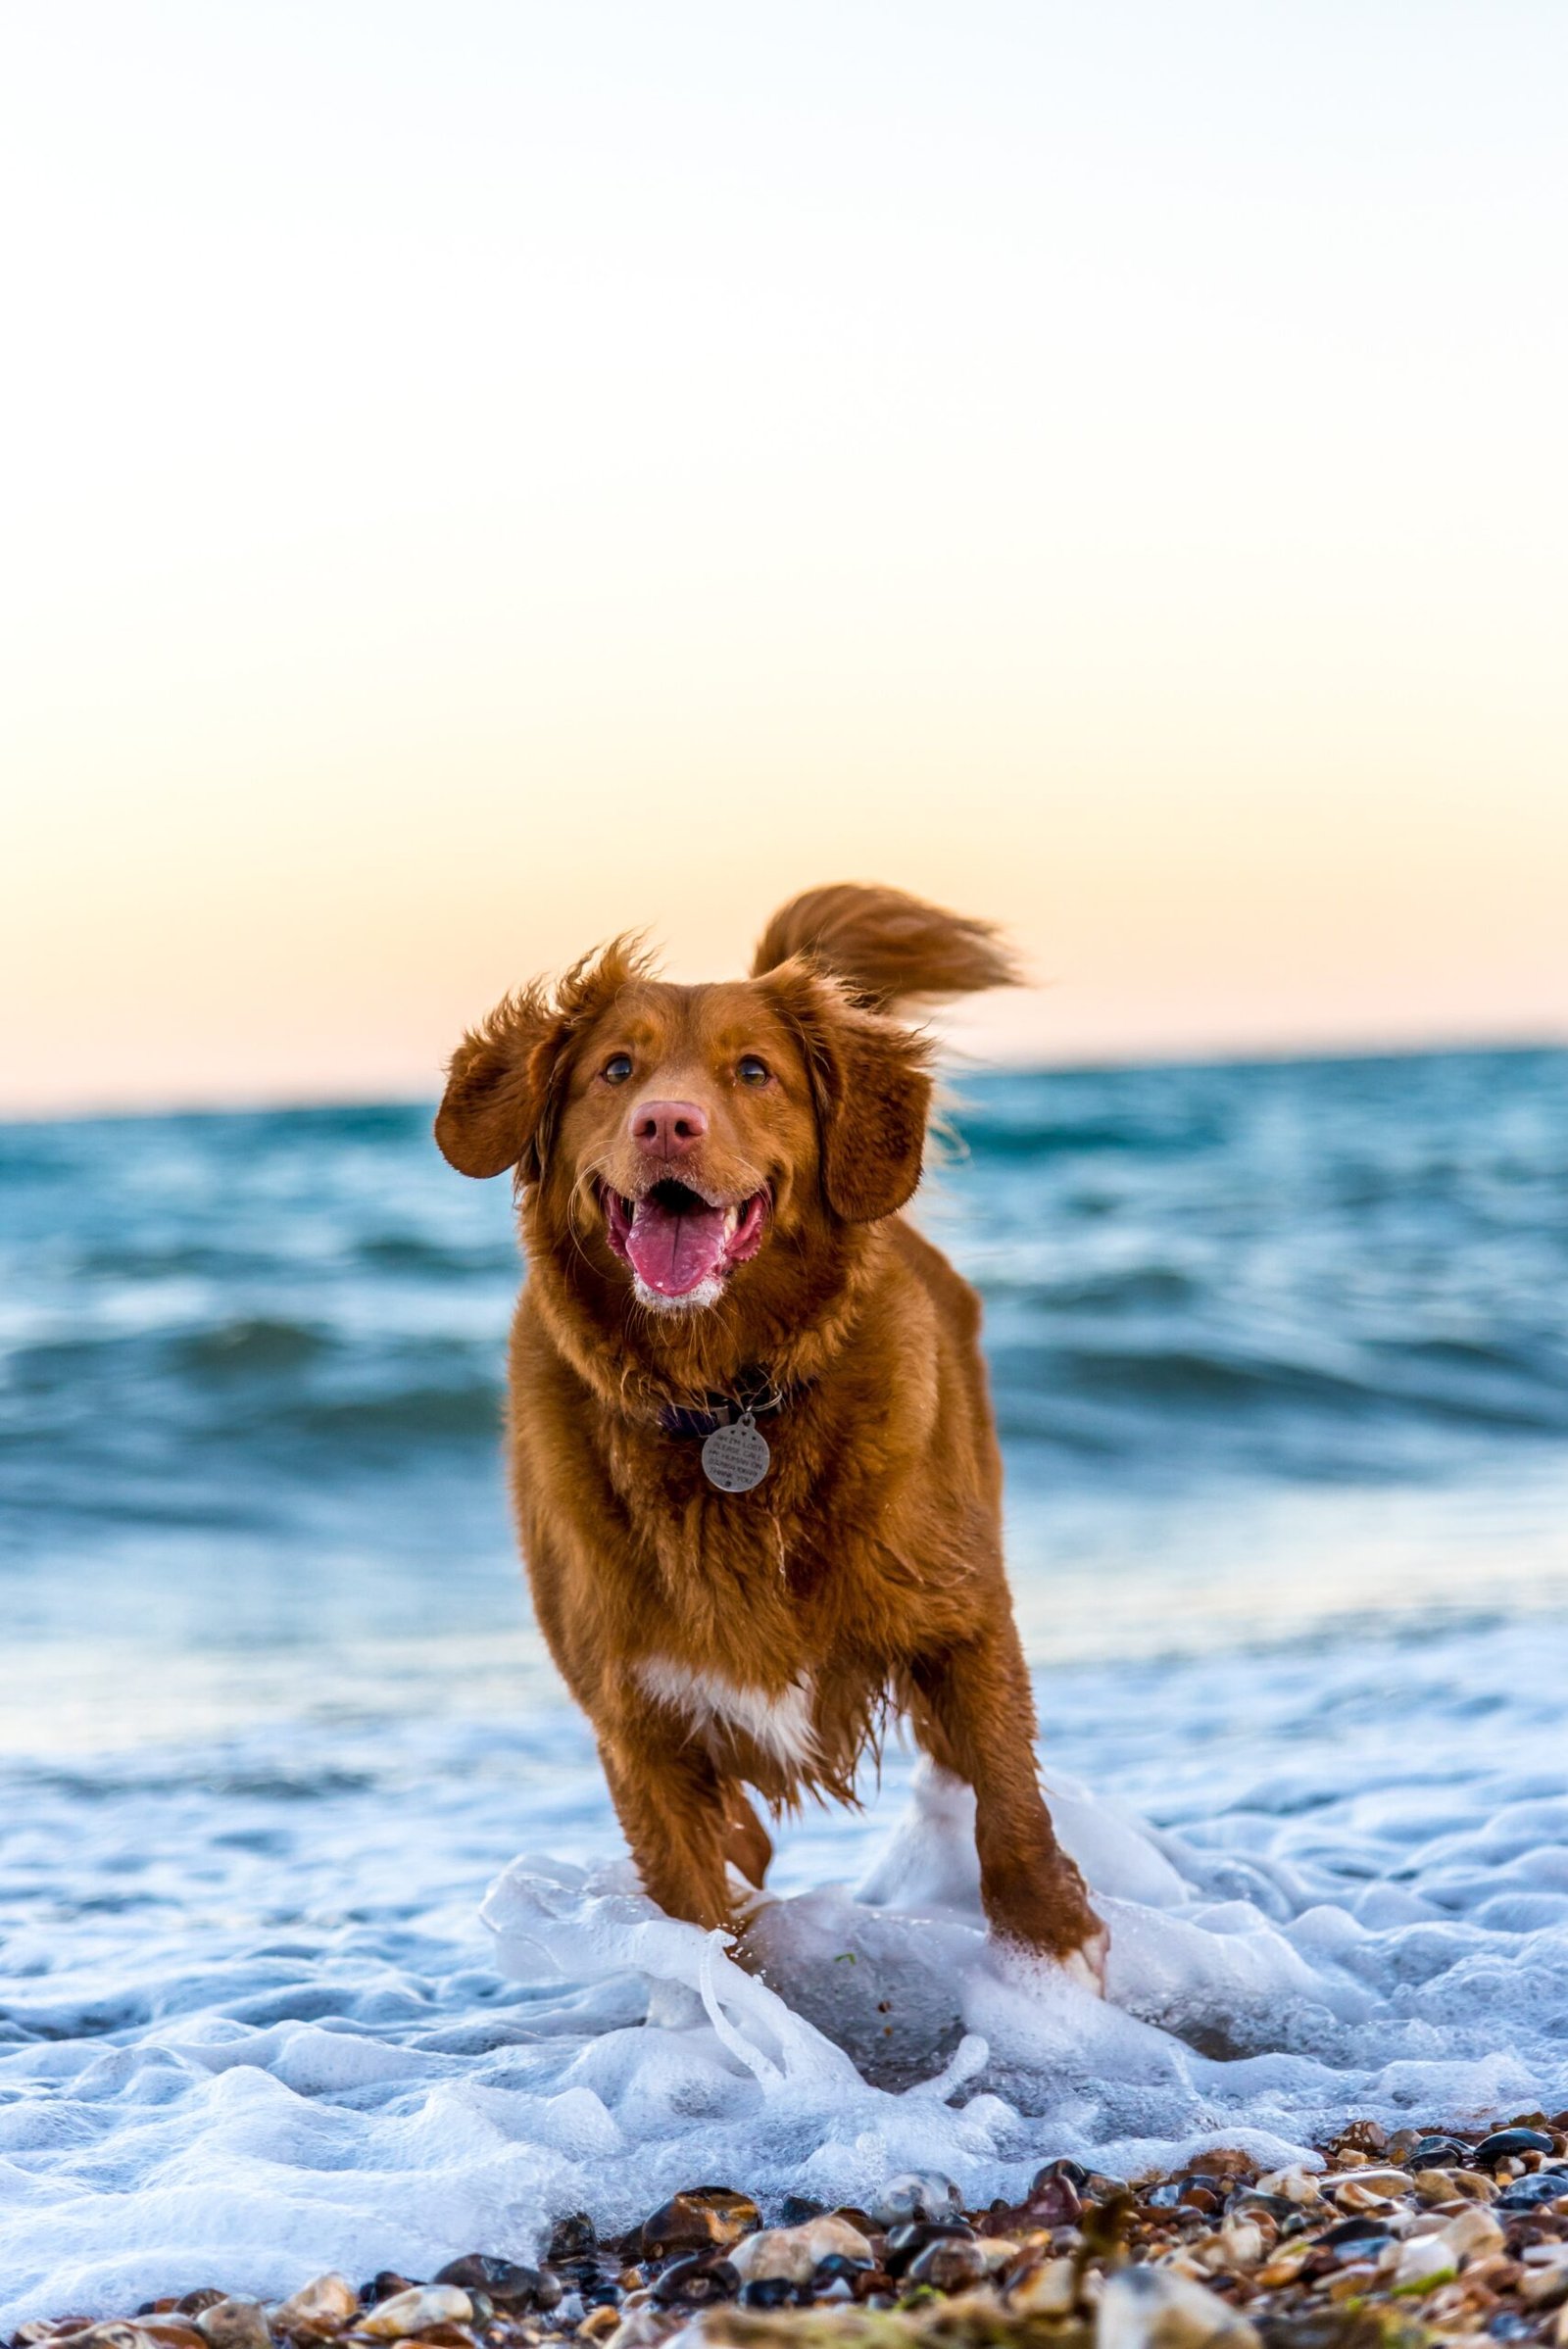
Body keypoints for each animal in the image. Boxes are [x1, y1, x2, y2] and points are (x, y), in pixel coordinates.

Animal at [434, 883, 1107, 1982]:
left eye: (754, 1071)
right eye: (615, 1069)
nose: (667, 1121)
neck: (725, 1400)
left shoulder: (960, 1615)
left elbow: (1008, 1798)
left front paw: (1053, 1944)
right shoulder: (636, 1719)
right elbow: (696, 1907)